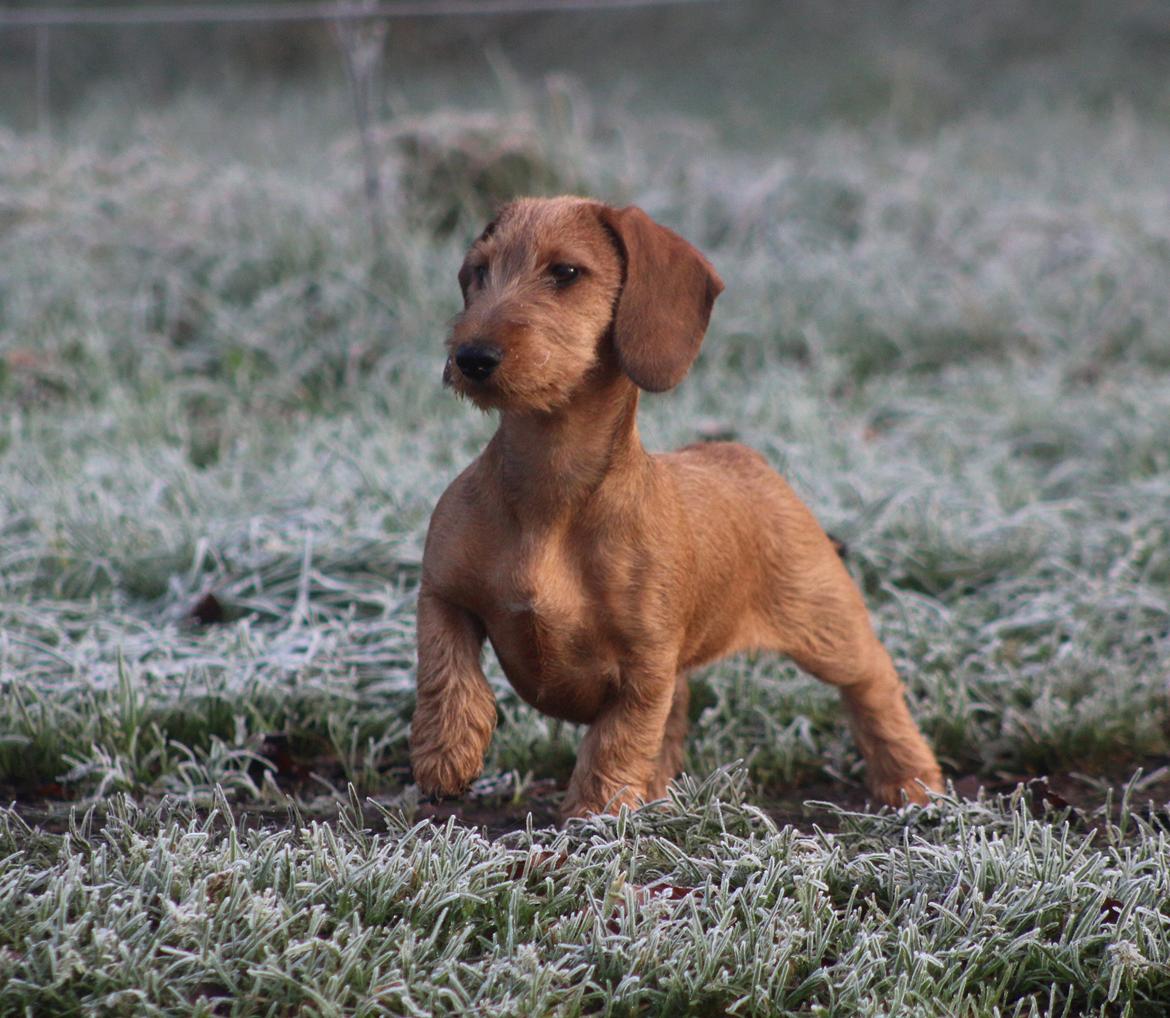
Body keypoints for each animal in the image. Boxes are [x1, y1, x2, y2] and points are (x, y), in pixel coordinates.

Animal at [409, 197, 940, 819]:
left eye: (566, 272)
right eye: (480, 271)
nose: (470, 357)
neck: (550, 494)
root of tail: (737, 455)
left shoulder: (645, 665)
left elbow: (616, 742)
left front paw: (593, 817)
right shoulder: (442, 593)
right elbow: (446, 670)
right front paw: (447, 754)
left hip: (827, 625)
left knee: (873, 681)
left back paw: (911, 779)